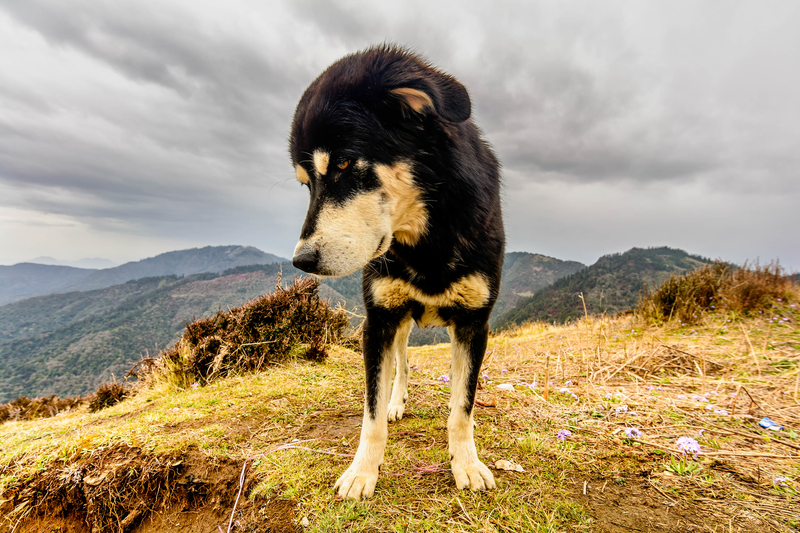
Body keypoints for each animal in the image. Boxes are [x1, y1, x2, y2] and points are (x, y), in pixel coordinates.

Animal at [288, 45, 504, 498]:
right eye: (306, 184)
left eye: (344, 163)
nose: (301, 261)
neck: (427, 240)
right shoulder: (379, 321)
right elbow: (370, 412)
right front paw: (363, 471)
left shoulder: (474, 323)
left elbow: (462, 407)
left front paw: (466, 463)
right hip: (399, 321)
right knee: (402, 362)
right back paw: (397, 401)